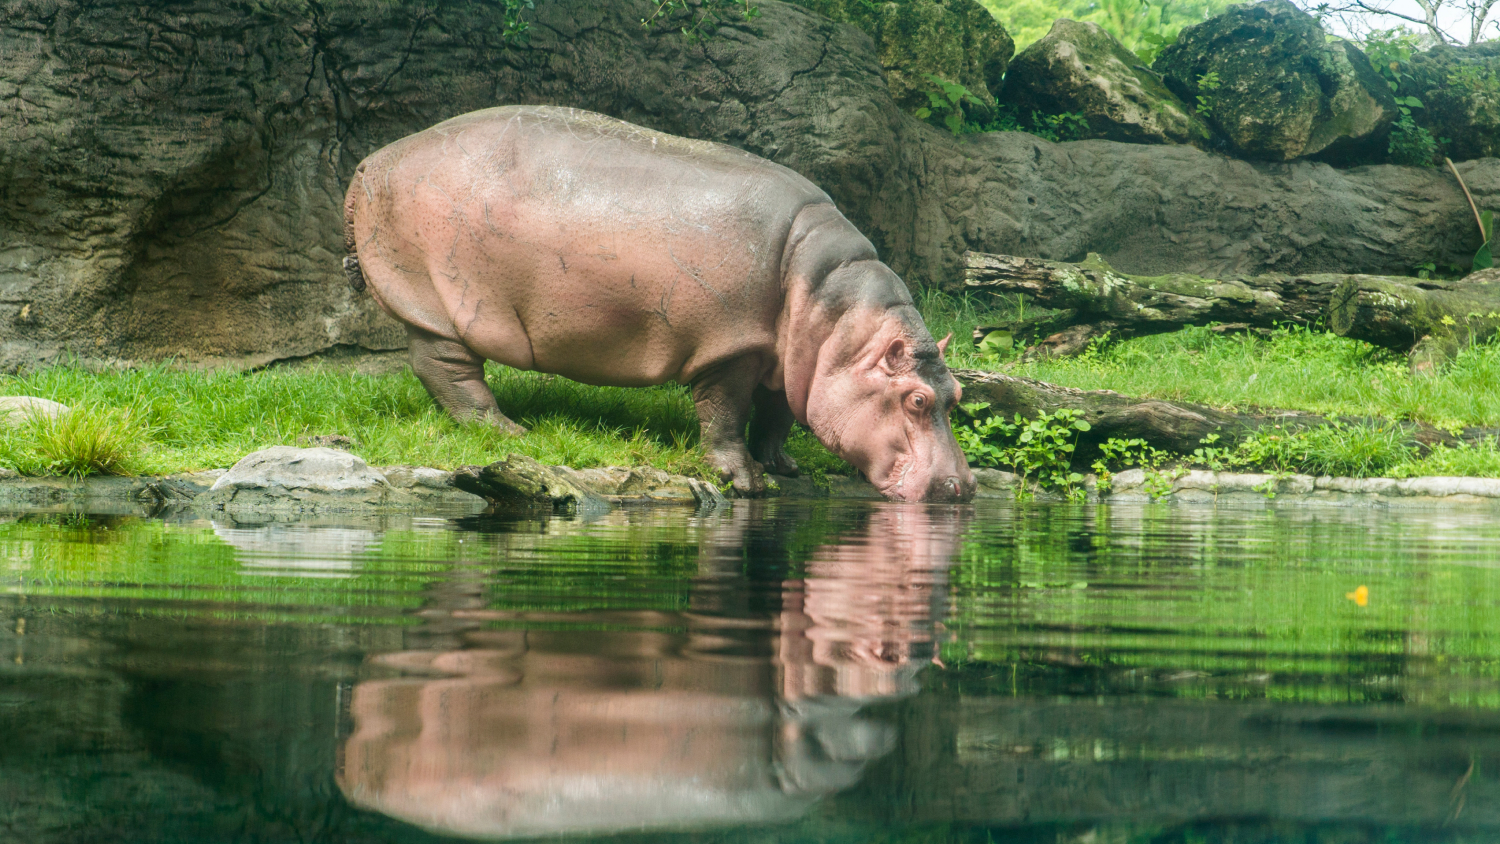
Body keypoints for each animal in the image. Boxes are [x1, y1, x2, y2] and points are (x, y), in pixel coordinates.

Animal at [343, 105, 975, 501]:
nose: (964, 487)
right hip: (437, 303)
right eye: (917, 400)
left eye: (956, 394)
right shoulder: (731, 345)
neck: (840, 321)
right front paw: (748, 482)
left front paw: (783, 466)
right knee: (448, 372)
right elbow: (726, 414)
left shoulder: (793, 358)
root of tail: (371, 160)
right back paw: (508, 432)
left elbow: (777, 415)